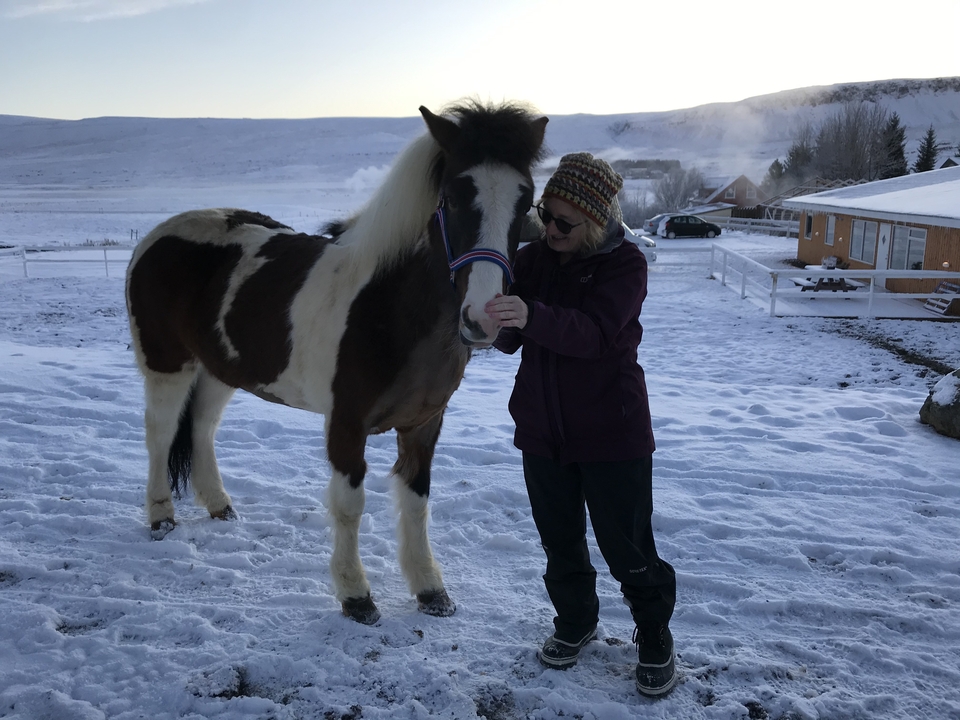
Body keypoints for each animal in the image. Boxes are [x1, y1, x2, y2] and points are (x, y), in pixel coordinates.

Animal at [124, 101, 548, 625]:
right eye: (451, 198)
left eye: (526, 200)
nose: (486, 318)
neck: (388, 309)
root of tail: (156, 237)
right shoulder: (345, 424)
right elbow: (350, 505)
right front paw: (356, 595)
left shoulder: (424, 424)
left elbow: (417, 501)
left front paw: (430, 589)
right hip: (168, 365)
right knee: (161, 434)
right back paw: (161, 515)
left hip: (221, 369)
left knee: (201, 428)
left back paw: (220, 506)